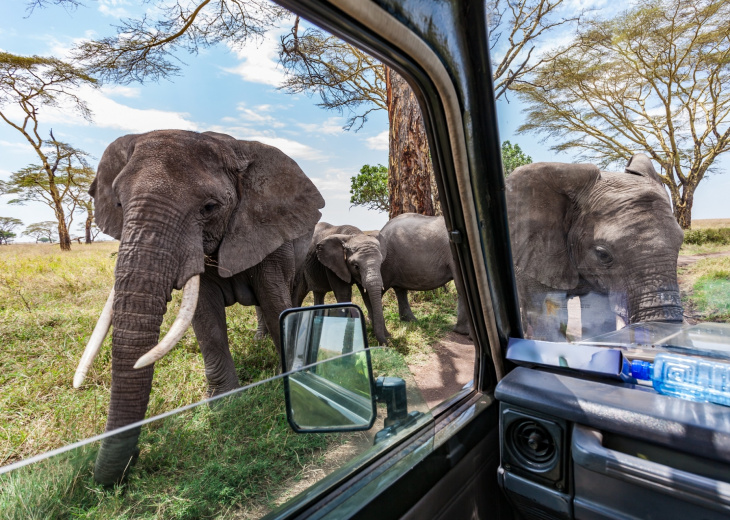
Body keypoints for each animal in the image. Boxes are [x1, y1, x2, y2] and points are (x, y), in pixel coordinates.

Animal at [75, 129, 322, 484]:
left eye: (209, 207)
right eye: (119, 204)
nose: (135, 459)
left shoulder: (269, 231)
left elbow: (275, 301)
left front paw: (291, 381)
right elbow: (205, 319)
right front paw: (226, 406)